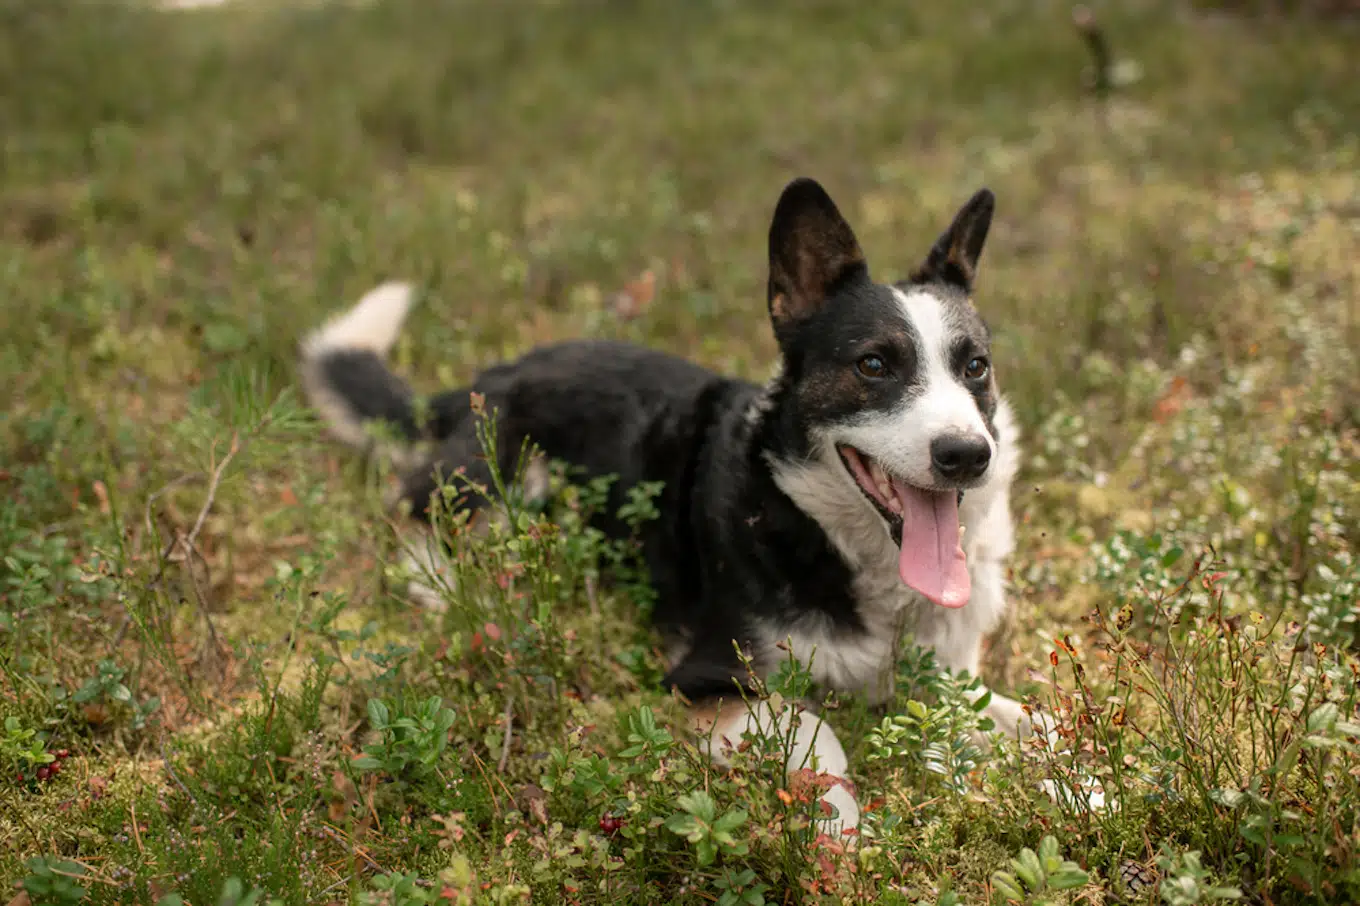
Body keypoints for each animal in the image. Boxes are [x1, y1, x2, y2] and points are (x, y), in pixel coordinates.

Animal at [297, 174, 1039, 832]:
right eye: (874, 365)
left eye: (976, 367)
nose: (968, 455)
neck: (827, 535)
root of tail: (483, 378)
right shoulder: (712, 678)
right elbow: (818, 730)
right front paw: (839, 829)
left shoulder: (949, 676)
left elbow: (1023, 717)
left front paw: (1061, 785)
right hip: (503, 481)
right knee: (423, 526)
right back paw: (449, 587)